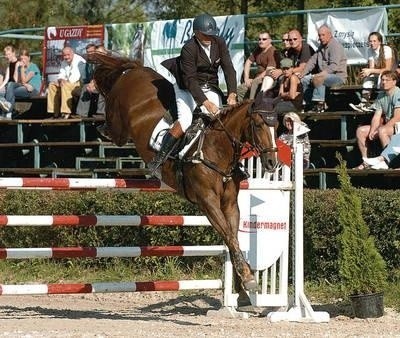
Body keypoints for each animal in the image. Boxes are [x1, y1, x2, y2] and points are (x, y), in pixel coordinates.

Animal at [90, 52, 278, 294]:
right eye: (258, 124)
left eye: (277, 127)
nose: (272, 163)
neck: (217, 150)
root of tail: (137, 69)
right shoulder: (208, 202)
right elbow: (228, 234)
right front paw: (247, 278)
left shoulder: (229, 204)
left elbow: (233, 236)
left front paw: (243, 283)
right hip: (120, 121)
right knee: (114, 129)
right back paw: (101, 125)